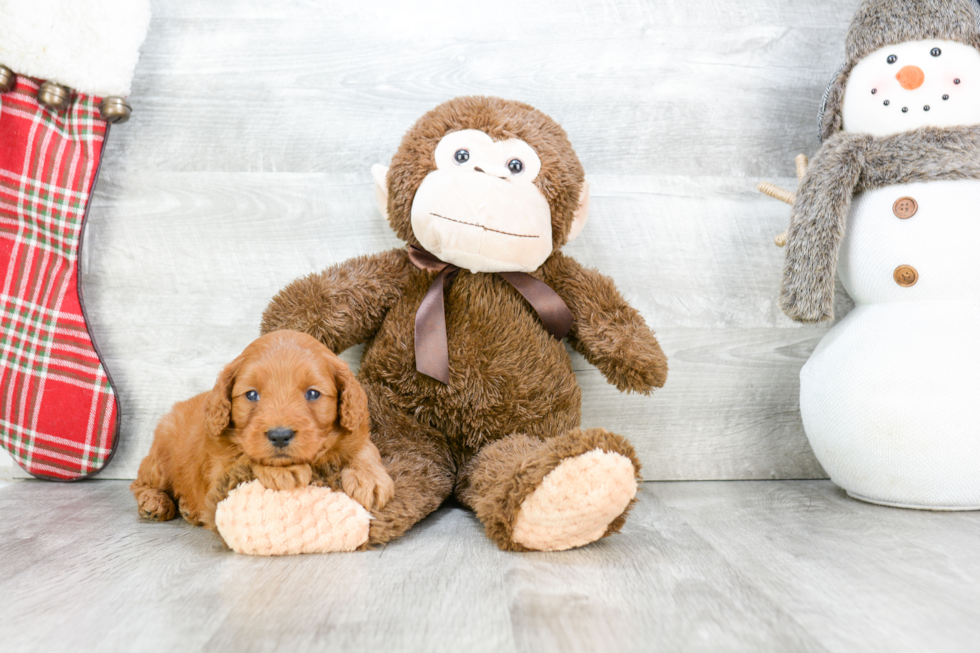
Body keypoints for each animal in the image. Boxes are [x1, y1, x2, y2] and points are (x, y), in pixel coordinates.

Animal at [131, 332, 394, 528]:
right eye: (251, 395)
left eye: (312, 393)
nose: (280, 436)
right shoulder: (220, 470)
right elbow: (245, 457)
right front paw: (283, 471)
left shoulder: (355, 430)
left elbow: (366, 448)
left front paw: (369, 478)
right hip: (162, 457)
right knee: (140, 482)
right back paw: (155, 502)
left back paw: (187, 508)